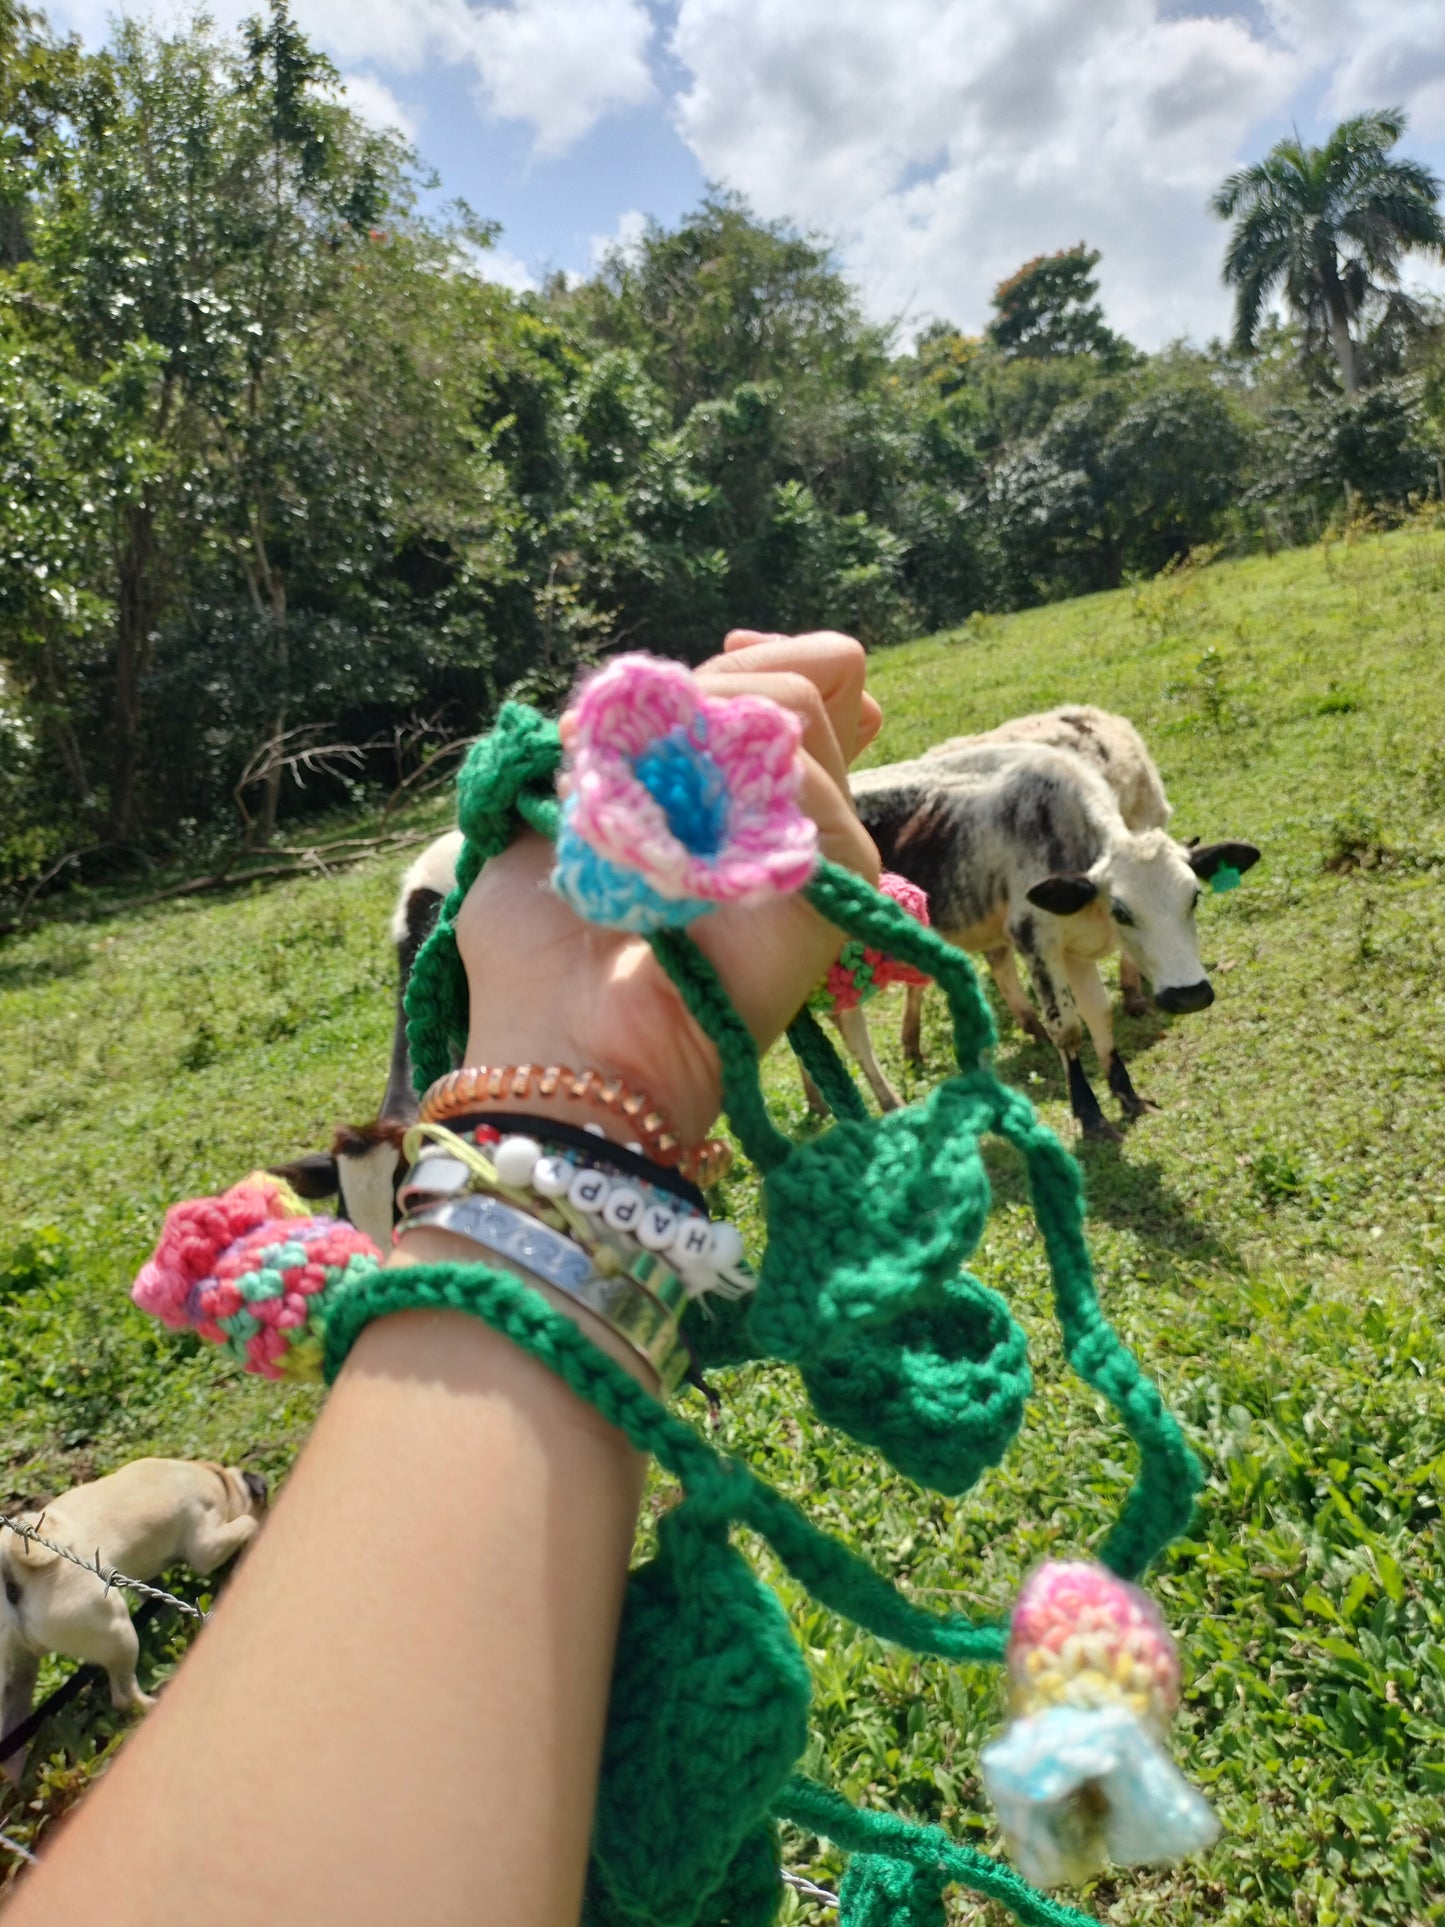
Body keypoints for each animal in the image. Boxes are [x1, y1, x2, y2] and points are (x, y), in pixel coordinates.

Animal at [0, 1449, 269, 1780]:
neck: (218, 1479)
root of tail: (14, 1570)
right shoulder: (206, 1544)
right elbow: (245, 1523)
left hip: (16, 1678)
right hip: (117, 1634)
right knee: (124, 1695)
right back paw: (153, 1708)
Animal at [855, 743, 1263, 1133]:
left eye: (1194, 898)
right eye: (1122, 912)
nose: (1189, 995)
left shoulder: (1075, 951)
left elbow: (1098, 1016)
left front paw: (1127, 1096)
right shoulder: (1036, 941)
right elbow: (1066, 1028)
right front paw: (1090, 1116)